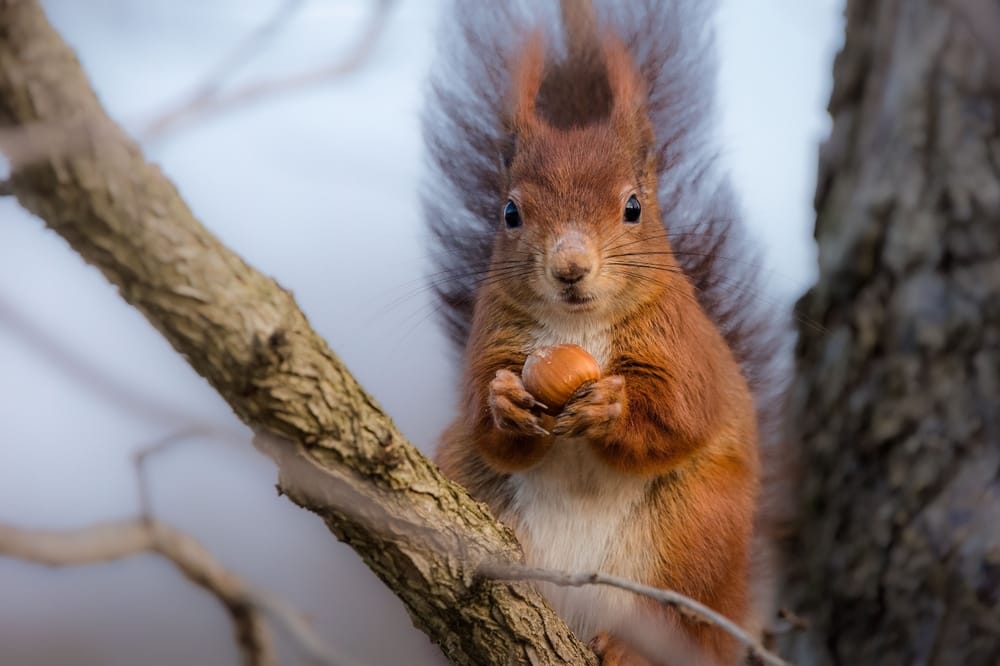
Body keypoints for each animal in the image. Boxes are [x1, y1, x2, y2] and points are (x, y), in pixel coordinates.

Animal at [423, 1, 789, 664]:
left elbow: (680, 413)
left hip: (697, 529)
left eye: (633, 207)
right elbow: (487, 426)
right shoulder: (492, 338)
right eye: (510, 212)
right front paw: (504, 399)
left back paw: (632, 648)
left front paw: (611, 406)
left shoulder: (683, 345)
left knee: (679, 623)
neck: (577, 325)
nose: (570, 267)